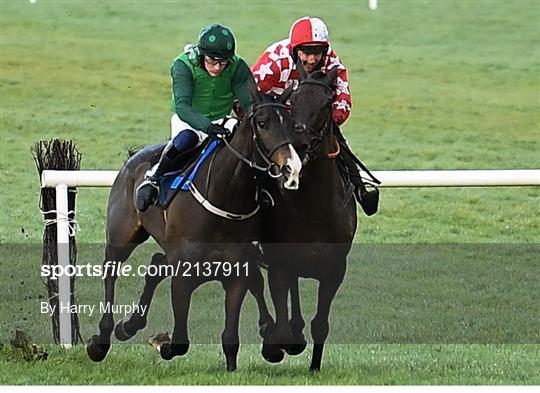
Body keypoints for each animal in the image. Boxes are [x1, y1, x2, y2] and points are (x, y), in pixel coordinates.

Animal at [86, 83, 302, 370]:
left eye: (291, 124)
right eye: (263, 123)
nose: (292, 167)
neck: (226, 196)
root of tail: (133, 158)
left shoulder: (237, 271)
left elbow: (230, 336)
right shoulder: (183, 272)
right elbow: (180, 341)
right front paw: (162, 343)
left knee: (155, 264)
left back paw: (129, 325)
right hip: (122, 237)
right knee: (111, 270)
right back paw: (102, 339)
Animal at [258, 67, 356, 370]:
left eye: (326, 103)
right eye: (294, 100)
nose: (299, 142)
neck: (315, 210)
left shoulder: (335, 269)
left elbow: (320, 324)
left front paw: (314, 367)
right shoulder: (279, 263)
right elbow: (281, 321)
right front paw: (276, 345)